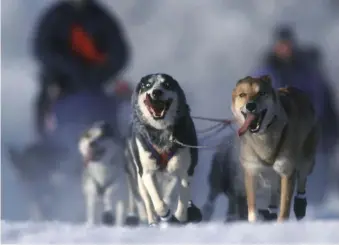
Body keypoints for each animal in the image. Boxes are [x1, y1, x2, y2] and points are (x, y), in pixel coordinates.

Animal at [231, 74, 318, 222]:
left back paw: (300, 204)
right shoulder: (251, 171)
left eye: (261, 93)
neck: (263, 138)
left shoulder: (287, 171)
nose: (250, 105)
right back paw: (271, 212)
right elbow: (252, 208)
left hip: (306, 160)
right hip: (271, 174)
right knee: (274, 190)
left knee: (302, 178)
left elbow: (284, 208)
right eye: (242, 94)